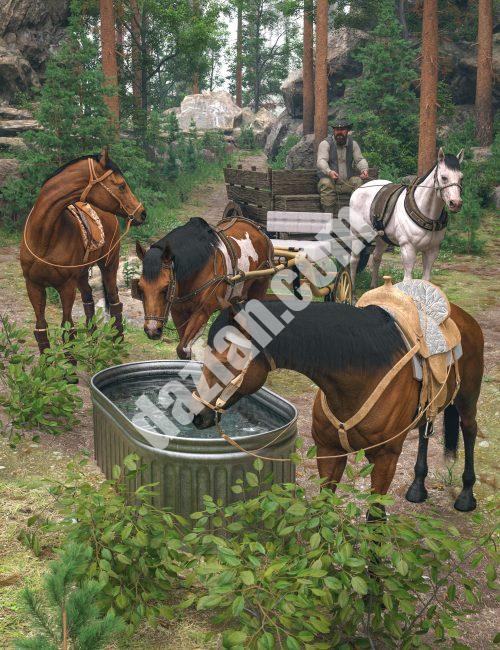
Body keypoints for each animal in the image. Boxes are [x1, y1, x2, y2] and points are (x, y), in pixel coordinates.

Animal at [20, 149, 146, 355]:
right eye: (121, 186)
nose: (142, 213)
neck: (44, 238)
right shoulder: (33, 286)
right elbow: (41, 328)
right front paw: (47, 362)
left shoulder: (66, 287)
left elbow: (67, 327)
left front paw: (69, 363)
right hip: (81, 274)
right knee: (88, 300)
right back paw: (91, 340)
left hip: (109, 265)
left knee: (115, 301)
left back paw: (118, 340)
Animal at [134, 216, 273, 360]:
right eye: (140, 288)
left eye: (165, 288)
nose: (152, 330)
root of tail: (259, 230)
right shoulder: (178, 311)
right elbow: (183, 349)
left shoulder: (202, 312)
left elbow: (182, 349)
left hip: (259, 288)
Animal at [192, 298, 483, 515]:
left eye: (226, 360)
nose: (198, 416)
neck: (362, 374)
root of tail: (463, 317)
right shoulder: (329, 450)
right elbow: (323, 509)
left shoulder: (385, 458)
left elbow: (374, 518)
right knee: (425, 431)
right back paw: (417, 487)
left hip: (468, 399)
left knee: (469, 431)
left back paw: (466, 496)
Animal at [349, 148, 464, 288]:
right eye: (444, 177)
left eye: (461, 177)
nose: (456, 203)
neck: (427, 214)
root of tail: (359, 189)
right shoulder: (407, 248)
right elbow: (407, 280)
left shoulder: (432, 251)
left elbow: (426, 280)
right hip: (356, 234)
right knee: (354, 259)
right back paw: (351, 288)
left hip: (382, 237)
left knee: (376, 257)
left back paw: (374, 286)